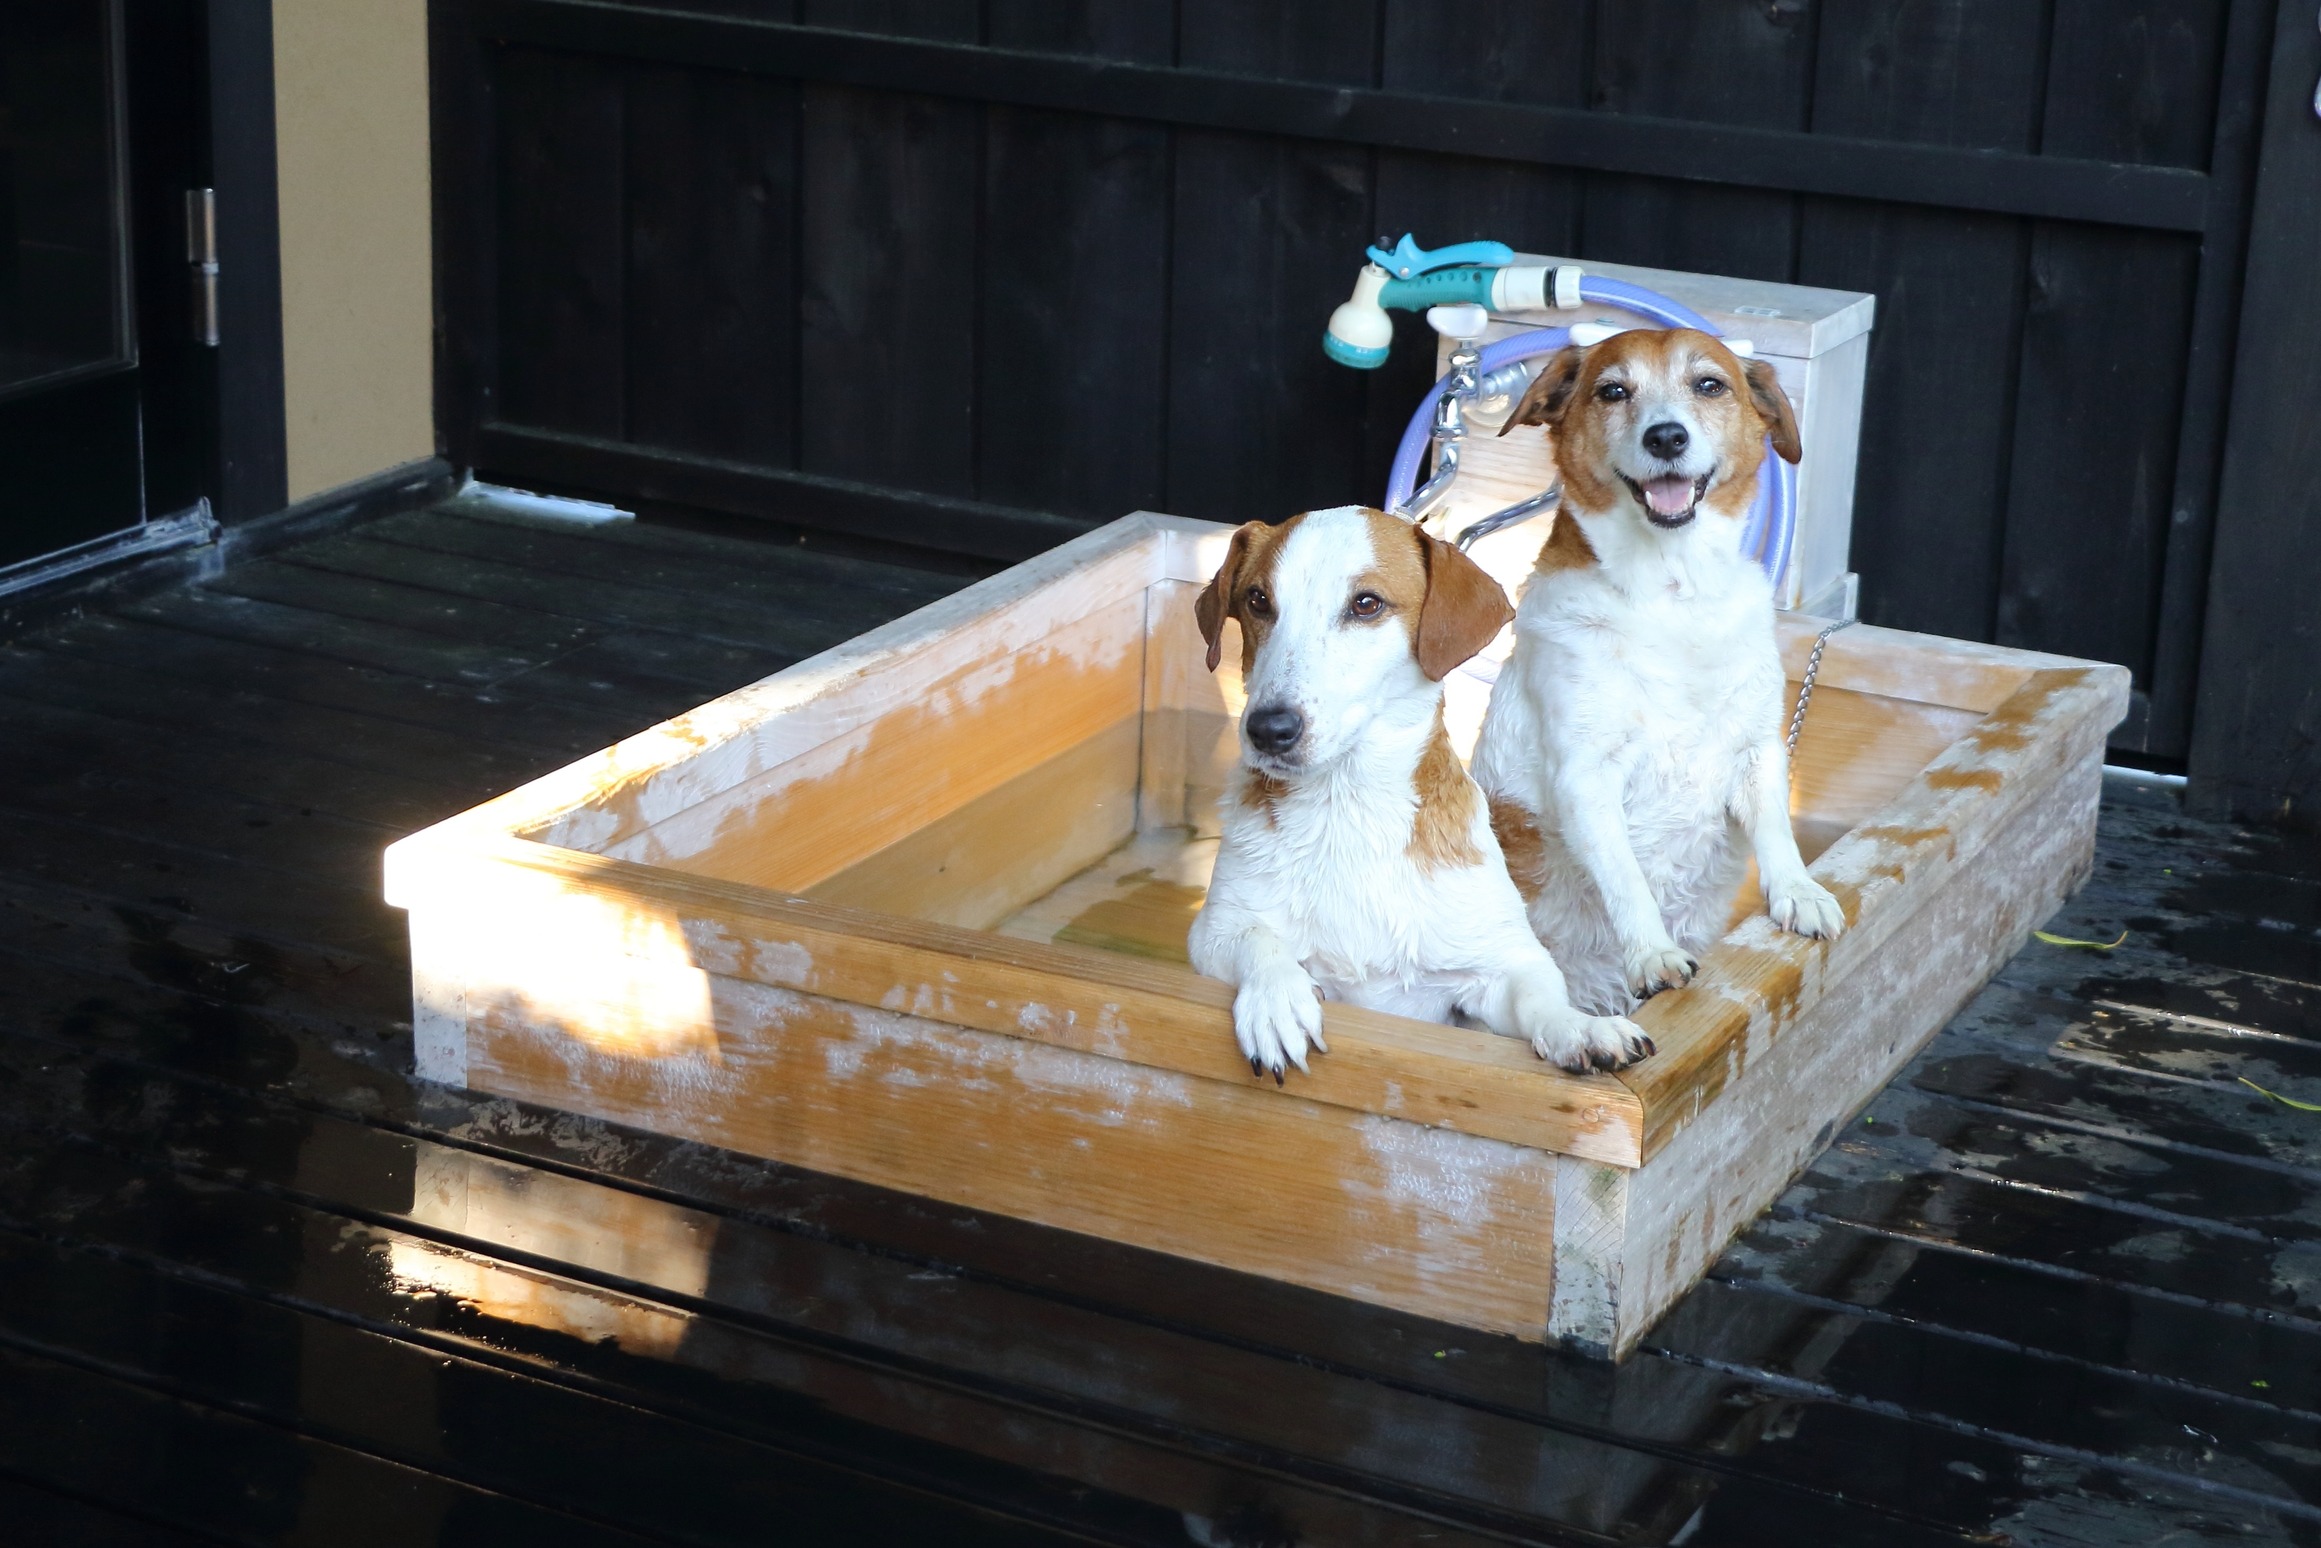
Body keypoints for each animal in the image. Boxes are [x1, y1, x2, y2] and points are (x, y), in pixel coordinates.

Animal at [1188, 505, 1661, 1076]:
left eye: (1366, 604)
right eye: (1258, 600)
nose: (1268, 729)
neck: (1347, 809)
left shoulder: (1504, 963)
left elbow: (1542, 999)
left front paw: (1581, 1028)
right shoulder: (1212, 933)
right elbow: (1259, 942)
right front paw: (1276, 1000)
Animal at [1466, 327, 1847, 1016]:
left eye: (1709, 384)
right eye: (1613, 391)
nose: (1665, 437)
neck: (1672, 592)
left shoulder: (1756, 748)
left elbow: (1777, 831)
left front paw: (1798, 892)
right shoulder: (1587, 775)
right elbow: (1626, 881)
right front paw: (1653, 955)